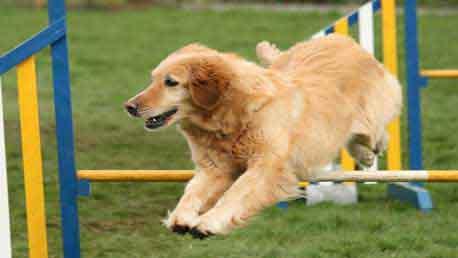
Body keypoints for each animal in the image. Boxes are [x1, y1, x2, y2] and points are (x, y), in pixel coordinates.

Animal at [124, 34, 400, 240]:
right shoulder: (215, 169)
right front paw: (181, 217)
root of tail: (344, 40)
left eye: (170, 82)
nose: (129, 106)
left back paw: (368, 153)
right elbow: (193, 192)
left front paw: (209, 222)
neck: (231, 116)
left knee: (375, 133)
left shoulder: (265, 166)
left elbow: (235, 194)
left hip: (370, 116)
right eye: (153, 79)